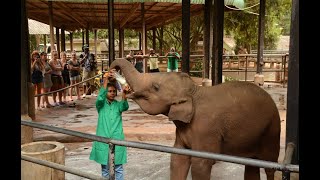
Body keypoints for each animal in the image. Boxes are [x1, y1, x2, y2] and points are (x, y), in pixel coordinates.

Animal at [110, 59, 280, 180]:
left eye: (156, 87)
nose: (111, 72)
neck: (194, 91)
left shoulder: (206, 130)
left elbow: (200, 164)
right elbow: (177, 159)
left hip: (272, 128)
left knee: (269, 165)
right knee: (252, 165)